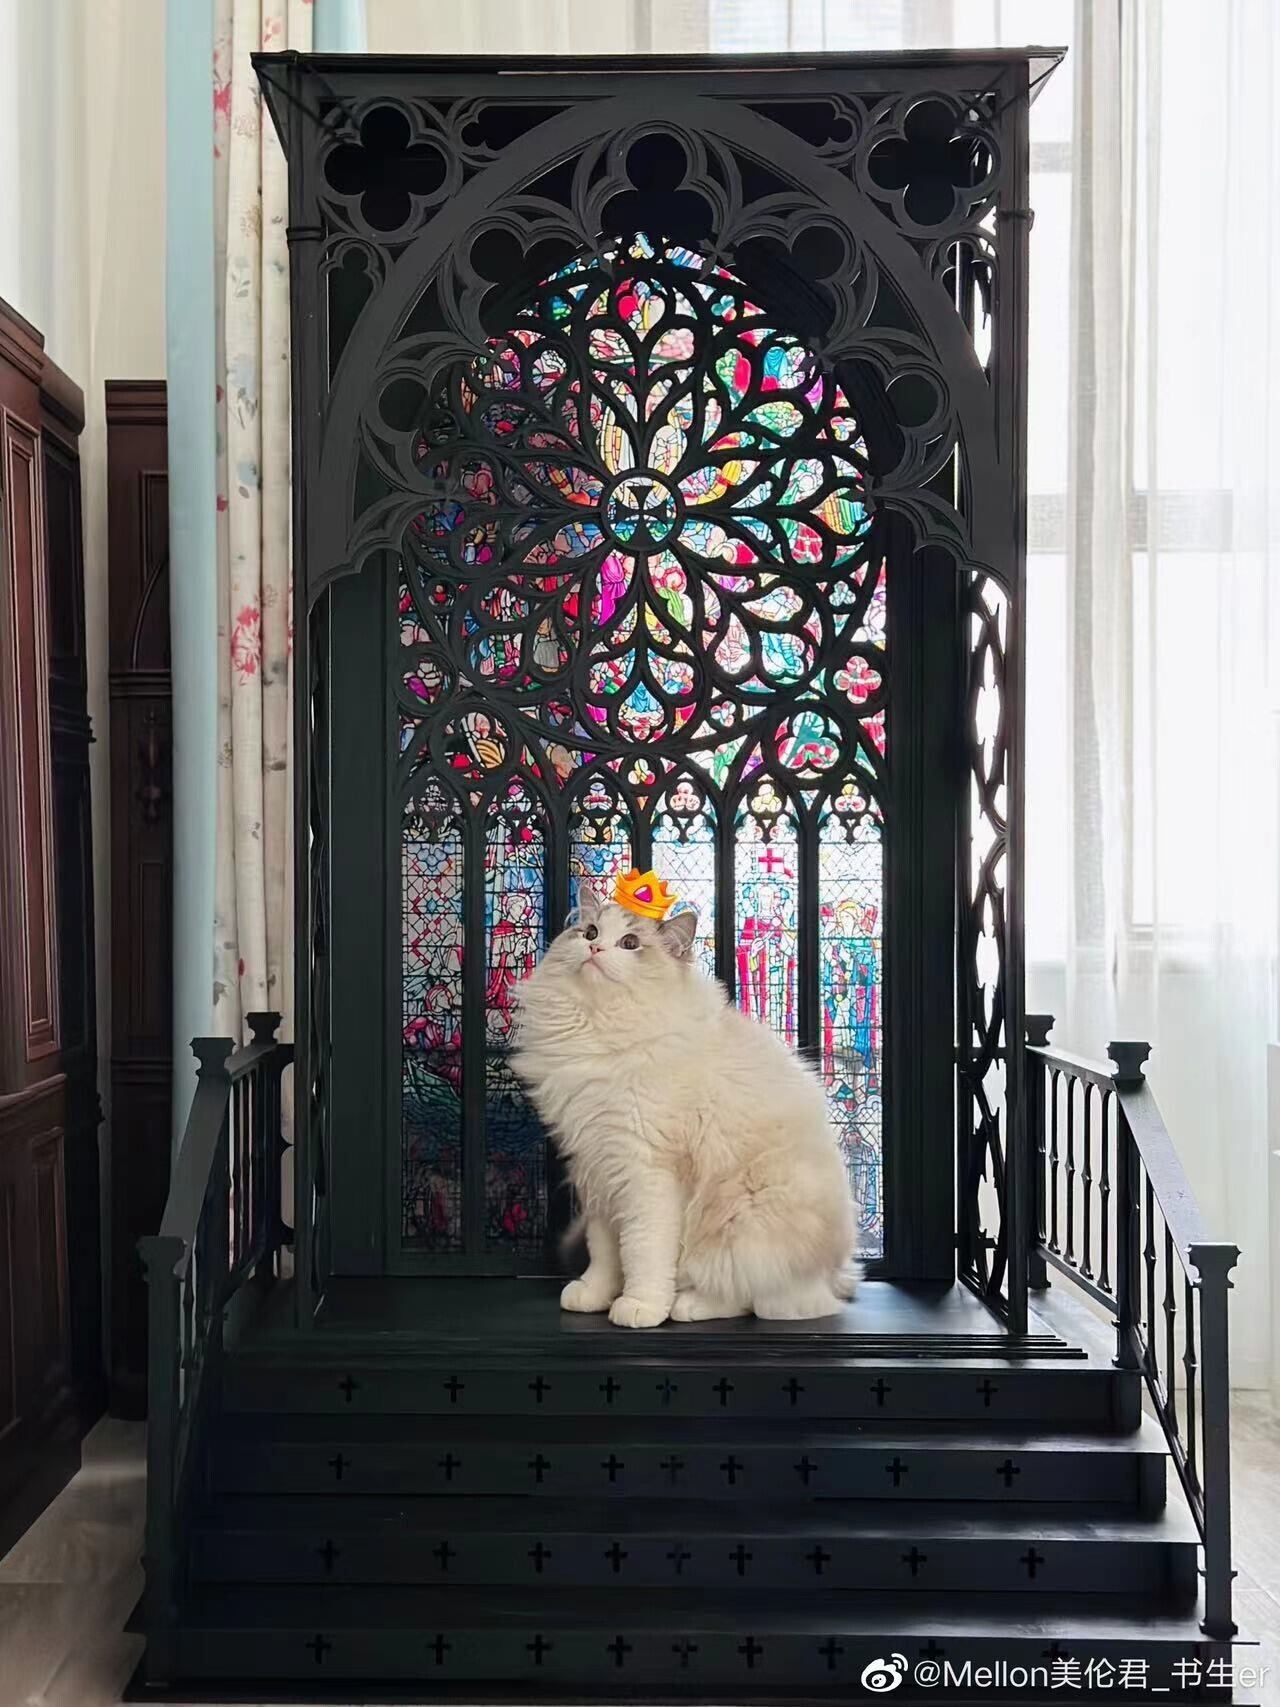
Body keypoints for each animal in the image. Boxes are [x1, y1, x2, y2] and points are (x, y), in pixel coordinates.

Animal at [512, 887, 857, 1327]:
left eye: (630, 944)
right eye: (589, 931)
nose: (595, 948)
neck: (600, 1030)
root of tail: (837, 1272)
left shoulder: (646, 1172)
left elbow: (643, 1252)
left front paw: (639, 1306)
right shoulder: (599, 1168)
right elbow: (605, 1254)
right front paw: (594, 1295)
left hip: (744, 1223)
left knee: (758, 1300)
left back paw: (687, 1305)